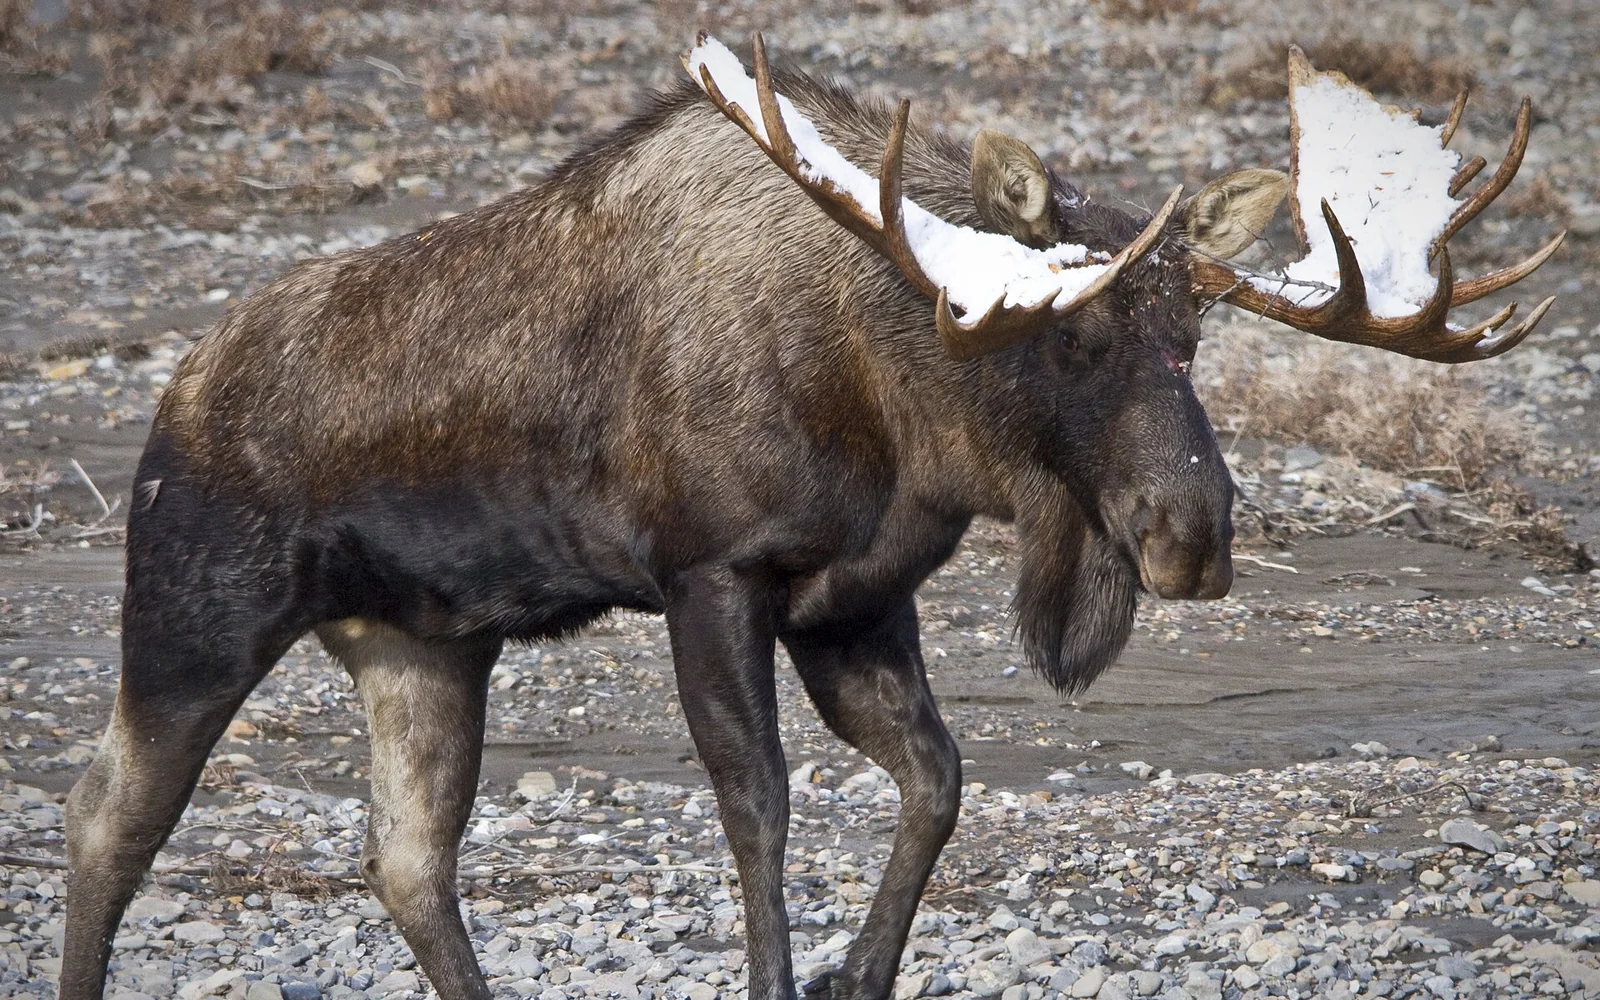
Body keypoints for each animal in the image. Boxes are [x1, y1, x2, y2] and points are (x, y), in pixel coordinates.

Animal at [61, 33, 1561, 1000]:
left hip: (421, 644)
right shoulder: (710, 574)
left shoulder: (856, 601)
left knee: (408, 863)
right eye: (1073, 334)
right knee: (106, 819)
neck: (903, 408)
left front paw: (862, 967)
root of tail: (176, 387)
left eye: (1193, 334)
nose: (1195, 534)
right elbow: (760, 811)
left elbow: (938, 782)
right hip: (194, 612)